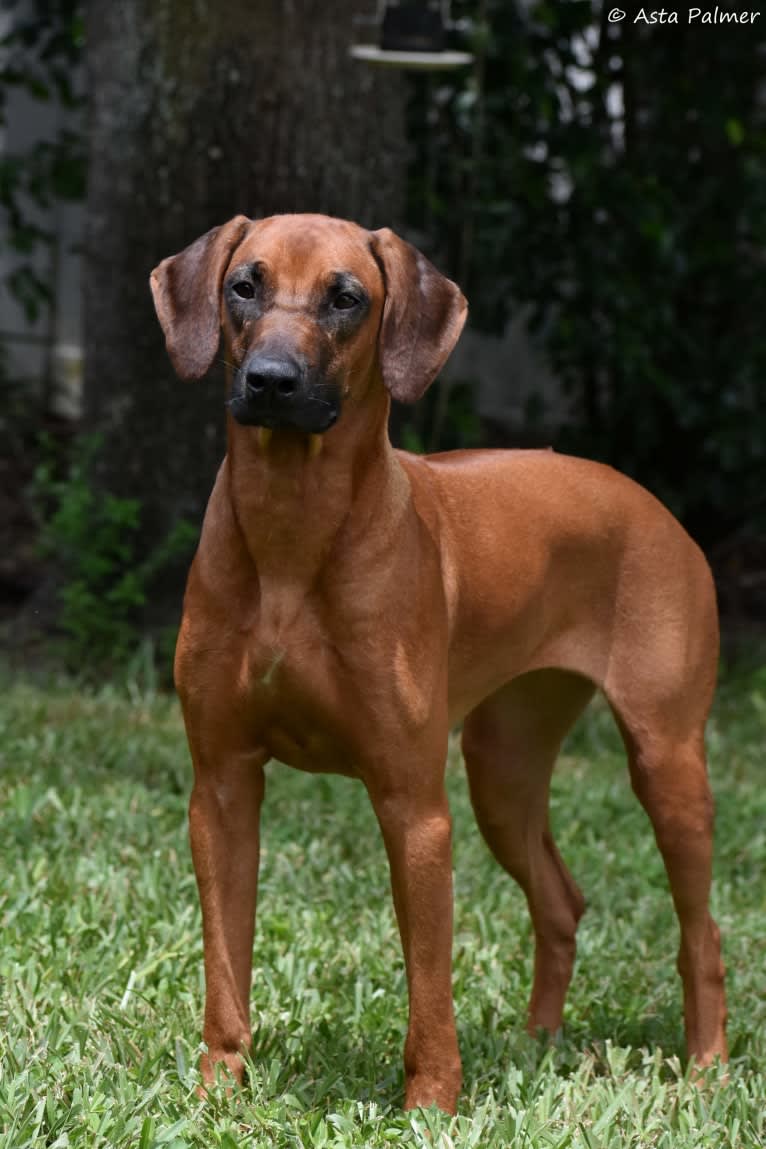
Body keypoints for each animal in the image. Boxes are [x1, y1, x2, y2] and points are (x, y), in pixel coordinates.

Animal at [151, 216, 730, 1112]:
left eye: (346, 297)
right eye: (243, 285)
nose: (270, 381)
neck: (293, 533)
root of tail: (652, 504)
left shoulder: (414, 804)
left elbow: (429, 979)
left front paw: (431, 1103)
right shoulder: (221, 786)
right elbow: (224, 964)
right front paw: (221, 1085)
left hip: (667, 764)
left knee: (702, 933)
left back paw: (706, 1066)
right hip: (503, 766)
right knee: (561, 900)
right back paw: (539, 1041)